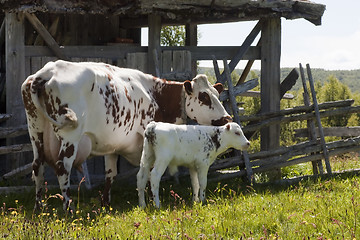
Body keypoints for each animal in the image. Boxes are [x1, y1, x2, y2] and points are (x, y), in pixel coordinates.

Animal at [21, 60, 232, 212]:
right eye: (204, 97)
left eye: (217, 94)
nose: (227, 118)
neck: (155, 94)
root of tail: (47, 72)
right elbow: (147, 172)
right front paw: (149, 199)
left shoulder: (111, 145)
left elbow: (110, 173)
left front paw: (106, 203)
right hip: (70, 137)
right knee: (62, 168)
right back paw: (68, 207)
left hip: (35, 132)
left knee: (37, 167)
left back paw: (38, 207)